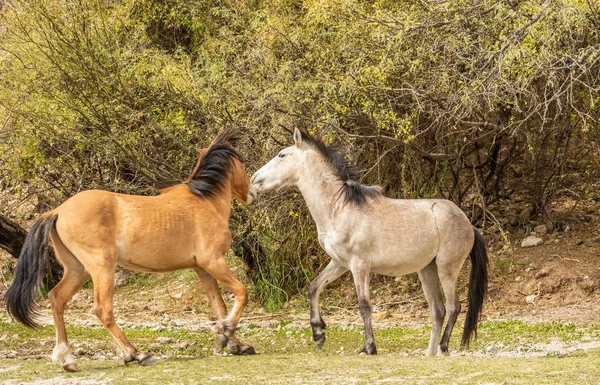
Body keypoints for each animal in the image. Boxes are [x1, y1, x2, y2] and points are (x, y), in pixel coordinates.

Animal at [5, 130, 258, 372]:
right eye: (242, 163)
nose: (253, 191)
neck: (205, 202)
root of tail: (57, 211)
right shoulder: (213, 261)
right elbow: (241, 293)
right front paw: (227, 334)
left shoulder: (202, 269)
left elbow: (219, 306)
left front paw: (234, 343)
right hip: (102, 267)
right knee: (102, 309)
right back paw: (136, 354)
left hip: (78, 270)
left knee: (57, 298)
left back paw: (68, 360)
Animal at [250, 128, 488, 354]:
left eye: (281, 155)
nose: (253, 180)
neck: (340, 209)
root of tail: (468, 224)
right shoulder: (340, 263)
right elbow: (314, 287)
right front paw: (318, 334)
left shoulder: (359, 266)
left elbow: (364, 306)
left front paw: (368, 347)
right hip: (427, 269)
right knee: (438, 310)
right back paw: (430, 353)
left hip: (446, 268)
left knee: (453, 307)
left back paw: (443, 347)